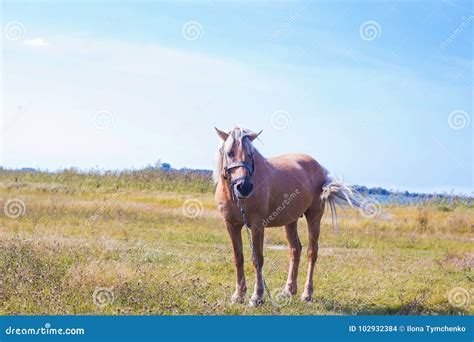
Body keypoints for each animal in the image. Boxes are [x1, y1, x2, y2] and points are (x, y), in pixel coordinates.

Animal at [213, 126, 362, 308]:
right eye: (229, 153)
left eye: (250, 154)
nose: (244, 186)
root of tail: (319, 167)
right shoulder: (231, 225)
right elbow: (238, 258)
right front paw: (238, 296)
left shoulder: (257, 225)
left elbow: (257, 259)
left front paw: (257, 297)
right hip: (290, 221)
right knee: (295, 250)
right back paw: (288, 291)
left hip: (314, 217)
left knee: (312, 252)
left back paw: (307, 294)